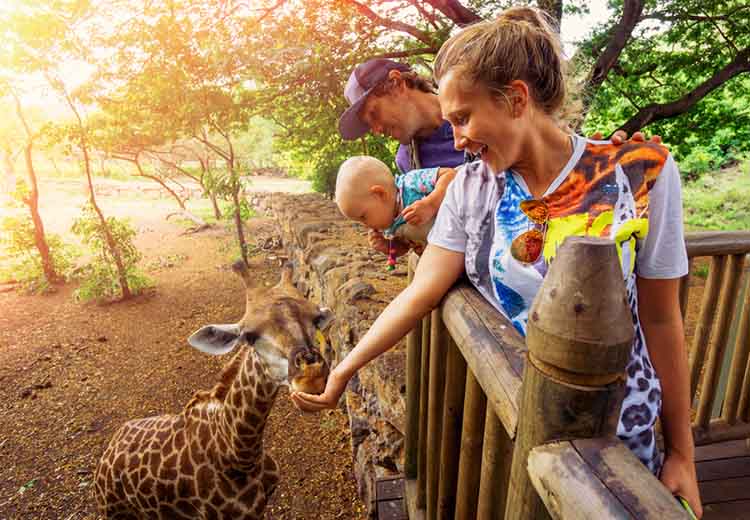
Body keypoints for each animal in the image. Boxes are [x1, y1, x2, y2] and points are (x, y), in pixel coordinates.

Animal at [96, 262, 334, 516]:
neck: (240, 455)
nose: (312, 377)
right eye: (249, 336)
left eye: (316, 319)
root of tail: (106, 456)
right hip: (116, 512)